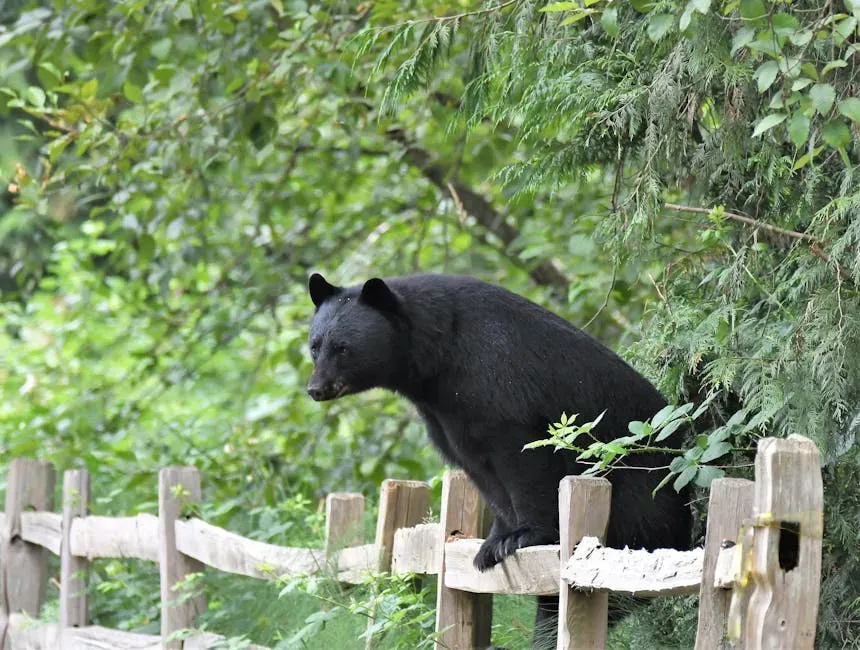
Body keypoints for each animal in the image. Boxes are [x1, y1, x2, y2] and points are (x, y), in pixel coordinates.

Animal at [306, 272, 692, 649]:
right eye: (314, 345)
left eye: (343, 347)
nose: (316, 389)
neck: (438, 359)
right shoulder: (446, 415)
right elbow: (481, 472)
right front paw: (492, 544)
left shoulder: (497, 381)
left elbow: (523, 457)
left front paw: (523, 536)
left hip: (639, 498)